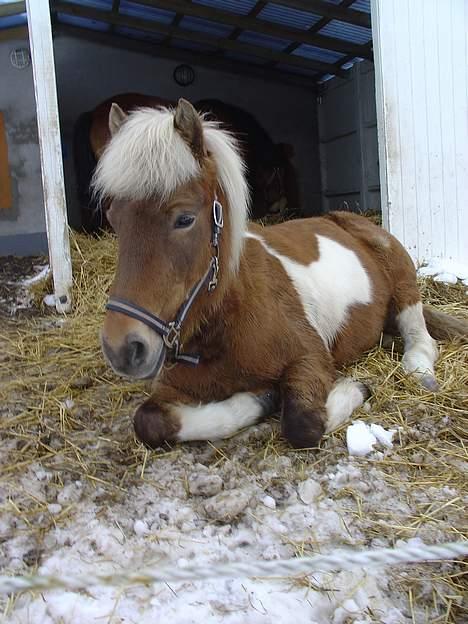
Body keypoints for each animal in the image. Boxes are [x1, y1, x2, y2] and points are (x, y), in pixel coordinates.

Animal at [95, 98, 468, 448]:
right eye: (113, 219)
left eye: (185, 218)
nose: (123, 349)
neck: (230, 317)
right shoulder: (176, 385)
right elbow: (149, 422)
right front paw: (256, 401)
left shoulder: (310, 358)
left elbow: (303, 423)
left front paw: (356, 389)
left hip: (402, 277)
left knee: (419, 334)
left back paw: (419, 369)